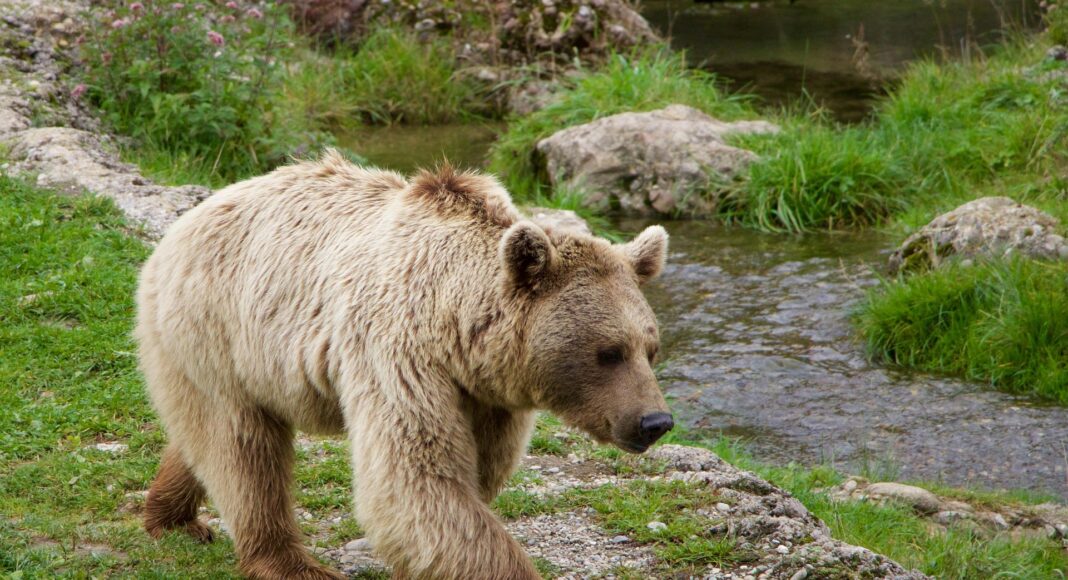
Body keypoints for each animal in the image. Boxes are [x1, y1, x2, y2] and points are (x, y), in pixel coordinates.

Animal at [135, 150, 673, 579]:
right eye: (608, 352)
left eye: (651, 348)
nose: (655, 421)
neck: (456, 325)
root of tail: (186, 220)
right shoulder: (398, 354)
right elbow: (416, 479)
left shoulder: (486, 394)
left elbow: (475, 475)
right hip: (219, 328)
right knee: (243, 449)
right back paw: (289, 562)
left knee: (205, 437)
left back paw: (172, 516)